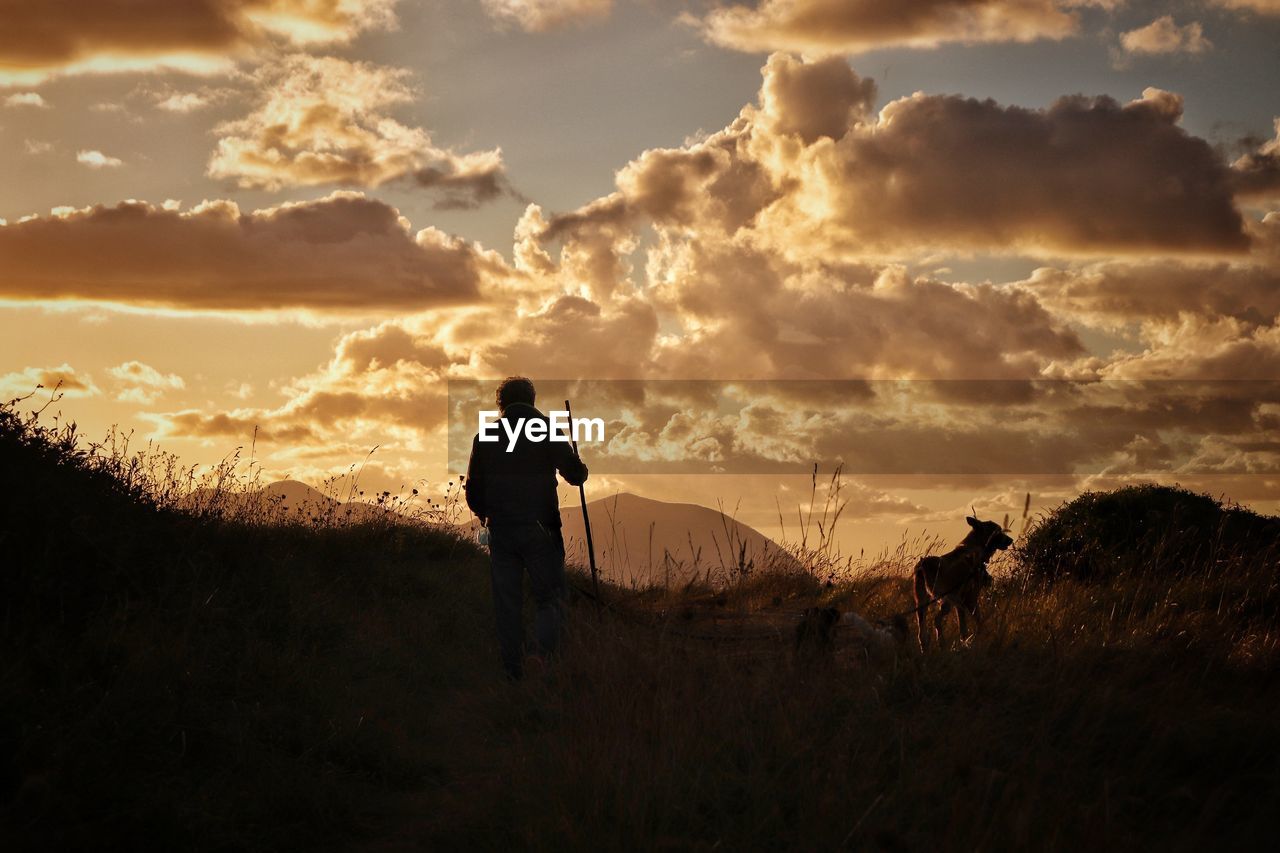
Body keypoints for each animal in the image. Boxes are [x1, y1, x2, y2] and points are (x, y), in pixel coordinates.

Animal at [916, 512, 1013, 650]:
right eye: (998, 531)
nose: (1011, 540)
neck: (971, 548)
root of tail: (925, 564)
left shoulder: (960, 603)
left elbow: (964, 628)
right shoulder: (970, 599)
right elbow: (978, 622)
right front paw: (975, 640)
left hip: (922, 604)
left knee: (922, 632)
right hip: (949, 602)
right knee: (939, 621)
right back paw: (944, 644)